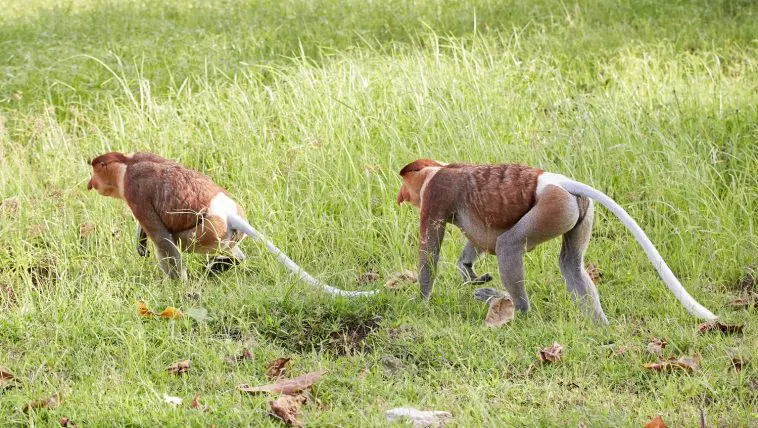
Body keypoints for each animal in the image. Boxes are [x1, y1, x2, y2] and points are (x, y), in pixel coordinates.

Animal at [87, 152, 375, 297]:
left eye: (95, 168)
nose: (90, 184)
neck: (127, 163)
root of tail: (227, 212)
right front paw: (140, 242)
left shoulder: (135, 190)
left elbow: (161, 237)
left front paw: (174, 286)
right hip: (225, 233)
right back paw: (229, 263)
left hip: (207, 231)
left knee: (176, 241)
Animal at [396, 159, 717, 324]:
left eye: (404, 181)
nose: (400, 196)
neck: (439, 169)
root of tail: (557, 181)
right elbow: (481, 235)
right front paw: (468, 268)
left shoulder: (436, 196)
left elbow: (430, 250)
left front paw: (419, 300)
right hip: (579, 211)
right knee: (571, 263)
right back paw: (599, 324)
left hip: (552, 208)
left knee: (509, 245)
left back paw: (517, 309)